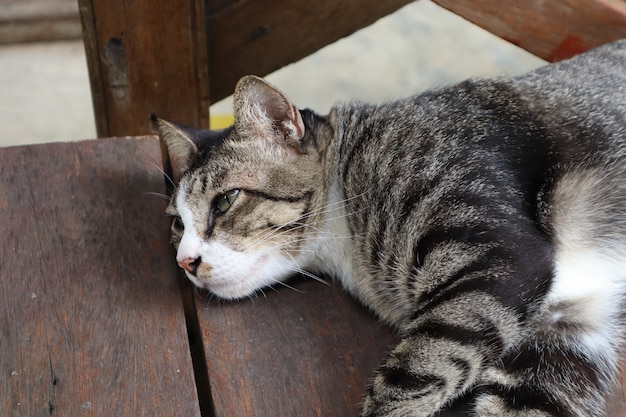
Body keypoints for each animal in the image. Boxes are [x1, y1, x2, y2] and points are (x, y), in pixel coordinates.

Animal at [156, 39, 624, 416]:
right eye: (178, 223)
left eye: (226, 200)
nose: (185, 262)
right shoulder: (560, 333)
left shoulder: (500, 258)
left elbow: (412, 373)